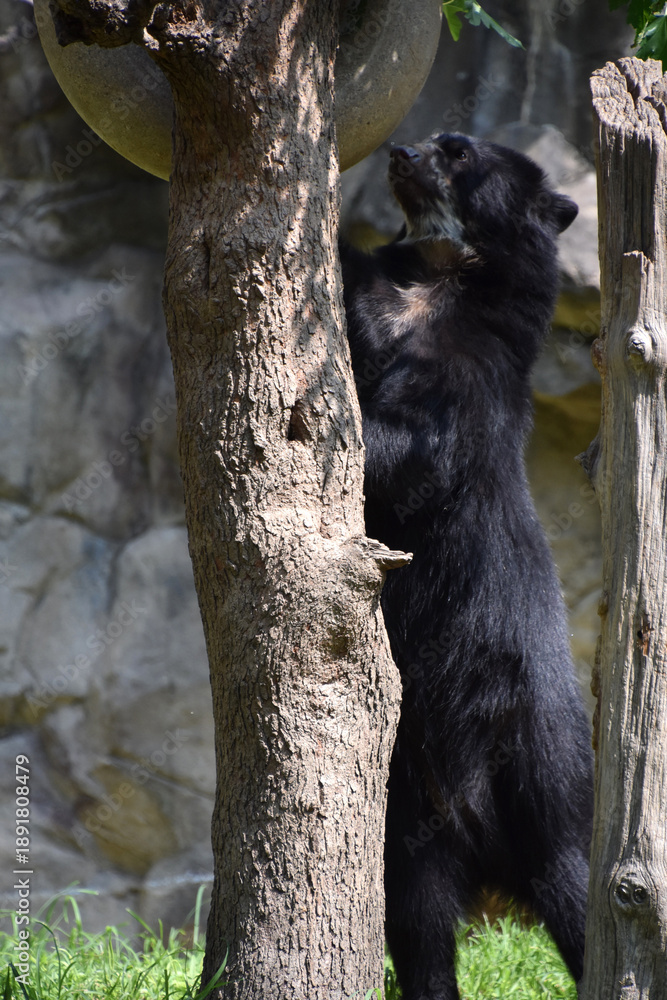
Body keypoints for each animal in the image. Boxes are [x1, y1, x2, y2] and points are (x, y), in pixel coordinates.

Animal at [340, 133, 594, 1000]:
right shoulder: (378, 303)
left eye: (457, 154)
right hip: (410, 814)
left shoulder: (467, 379)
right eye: (432, 140)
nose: (397, 150)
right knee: (417, 922)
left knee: (575, 885)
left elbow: (411, 450)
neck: (439, 275)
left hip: (544, 766)